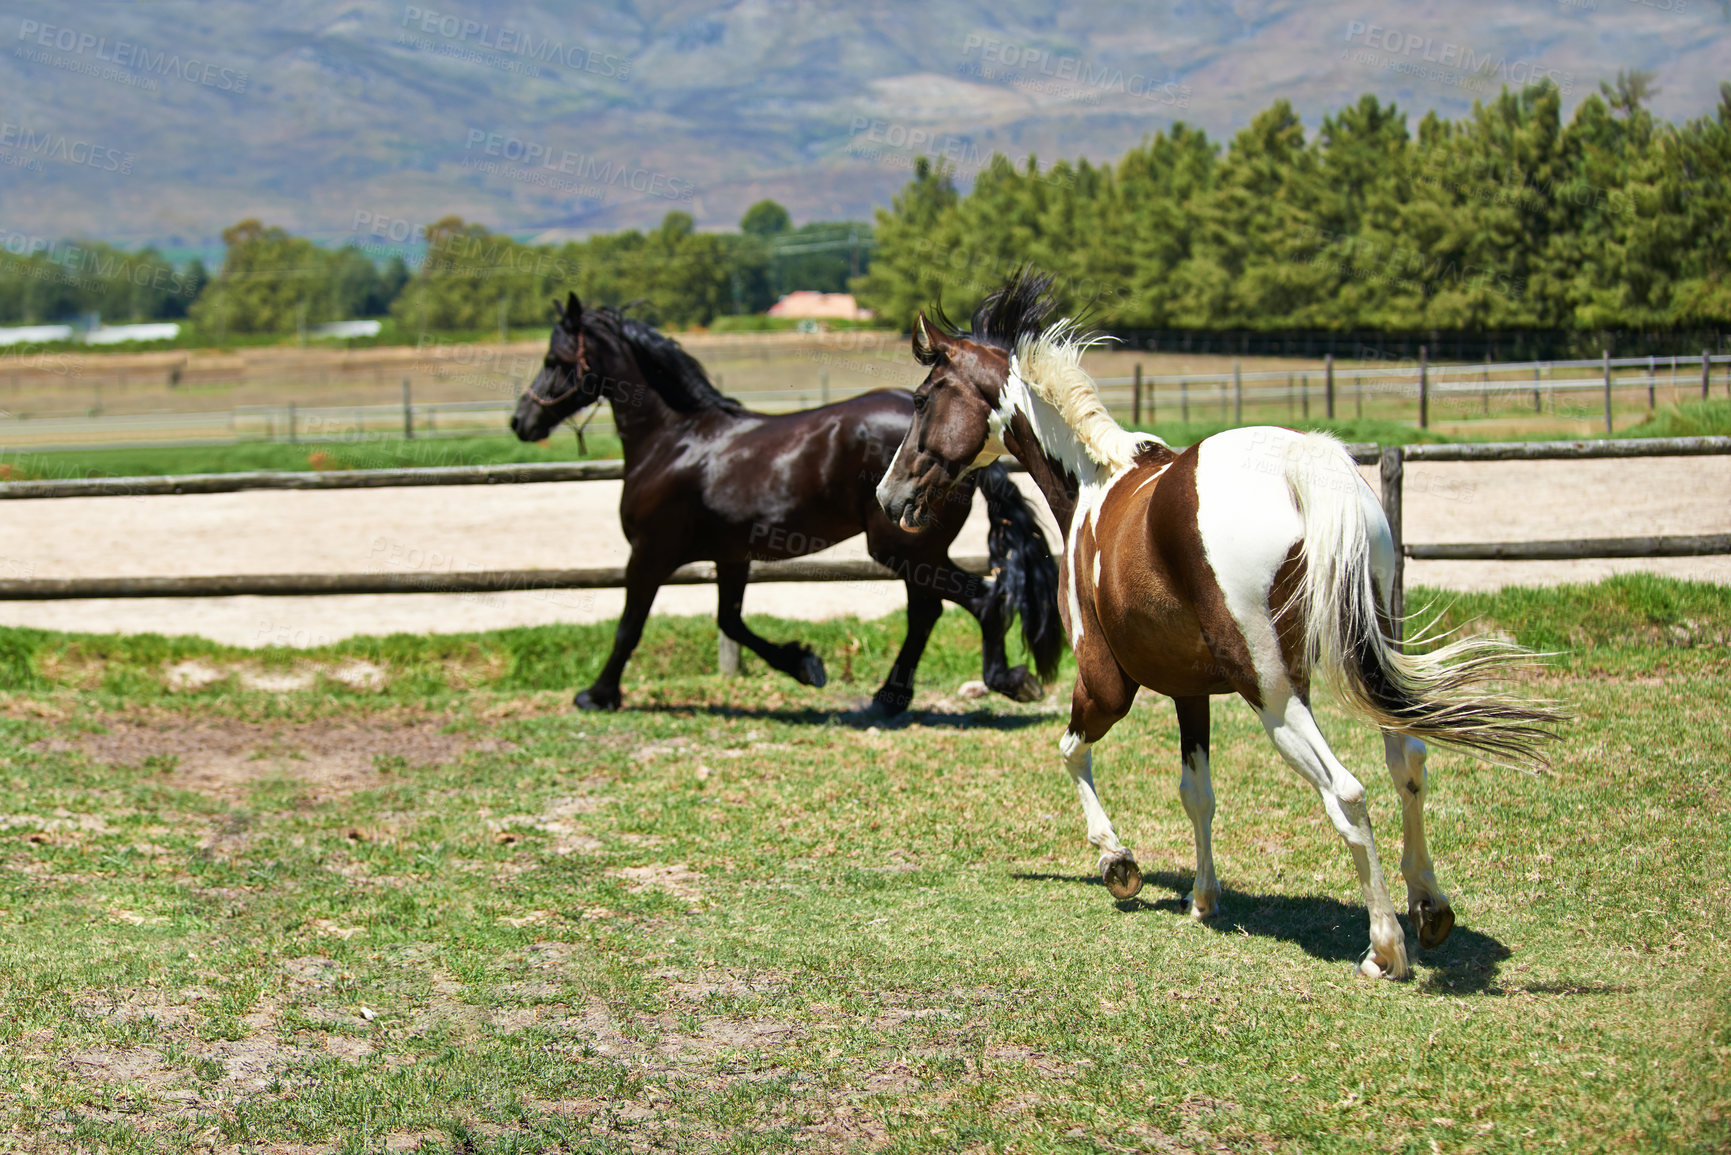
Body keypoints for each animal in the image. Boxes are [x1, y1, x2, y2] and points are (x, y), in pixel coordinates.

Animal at [505, 296, 1059, 713]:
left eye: (554, 360)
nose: (520, 422)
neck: (674, 440)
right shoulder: (730, 558)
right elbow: (730, 622)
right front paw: (806, 665)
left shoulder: (647, 555)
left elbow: (628, 628)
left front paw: (597, 694)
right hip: (913, 552)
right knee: (929, 610)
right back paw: (891, 697)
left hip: (902, 550)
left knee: (977, 599)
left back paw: (1005, 680)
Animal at [879, 275, 1557, 983]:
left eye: (924, 398)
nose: (888, 495)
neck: (1096, 485)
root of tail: (1303, 465)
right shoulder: (1190, 691)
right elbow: (1196, 791)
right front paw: (1203, 898)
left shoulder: (1105, 685)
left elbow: (1069, 753)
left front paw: (1118, 864)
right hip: (1369, 656)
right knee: (1410, 761)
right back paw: (1428, 908)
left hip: (1277, 696)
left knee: (1347, 791)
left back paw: (1385, 948)